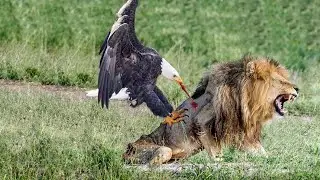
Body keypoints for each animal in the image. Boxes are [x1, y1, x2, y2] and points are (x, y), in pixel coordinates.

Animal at [122, 56, 298, 165]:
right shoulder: (203, 120)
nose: (297, 89)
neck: (246, 101)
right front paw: (221, 162)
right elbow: (214, 149)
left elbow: (261, 152)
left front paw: (275, 159)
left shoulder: (241, 131)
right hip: (157, 149)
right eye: (281, 81)